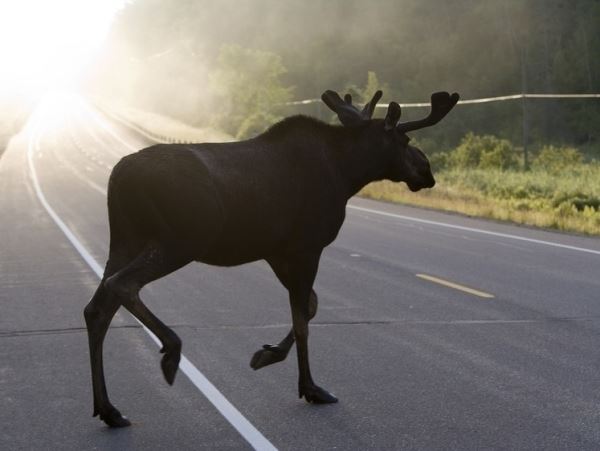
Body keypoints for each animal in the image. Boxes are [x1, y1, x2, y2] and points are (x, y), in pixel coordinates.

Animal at [83, 87, 460, 428]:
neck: (347, 174)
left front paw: (267, 354)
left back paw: (109, 409)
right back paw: (170, 352)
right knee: (121, 285)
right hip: (180, 240)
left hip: (126, 239)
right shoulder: (306, 246)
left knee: (96, 308)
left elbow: (310, 306)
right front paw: (310, 388)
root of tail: (118, 176)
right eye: (404, 140)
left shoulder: (278, 251)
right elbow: (303, 319)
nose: (427, 171)